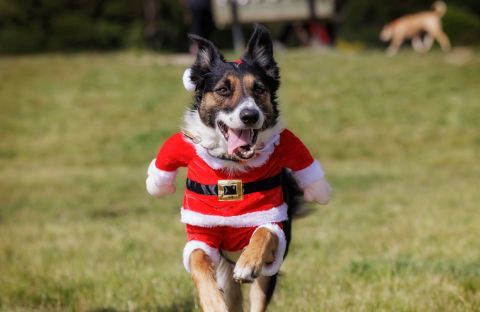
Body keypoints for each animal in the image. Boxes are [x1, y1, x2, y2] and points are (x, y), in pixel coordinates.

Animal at [146, 25, 332, 312]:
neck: (232, 169)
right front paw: (212, 301)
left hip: (265, 277)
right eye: (223, 89)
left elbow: (264, 233)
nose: (249, 115)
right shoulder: (202, 233)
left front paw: (247, 263)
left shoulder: (274, 224)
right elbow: (197, 258)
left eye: (259, 89)